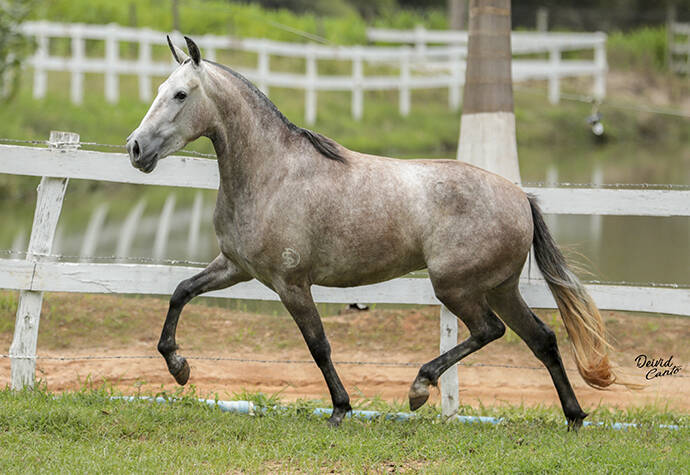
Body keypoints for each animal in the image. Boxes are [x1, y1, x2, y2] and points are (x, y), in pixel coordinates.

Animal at [126, 37, 616, 430]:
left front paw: (341, 410)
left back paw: (420, 387)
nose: (135, 148)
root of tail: (521, 198)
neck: (273, 174)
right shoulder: (235, 267)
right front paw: (179, 367)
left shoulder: (291, 284)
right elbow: (180, 292)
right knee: (542, 339)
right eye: (158, 91)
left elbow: (319, 345)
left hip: (456, 286)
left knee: (489, 331)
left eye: (180, 94)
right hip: (499, 287)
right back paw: (574, 417)